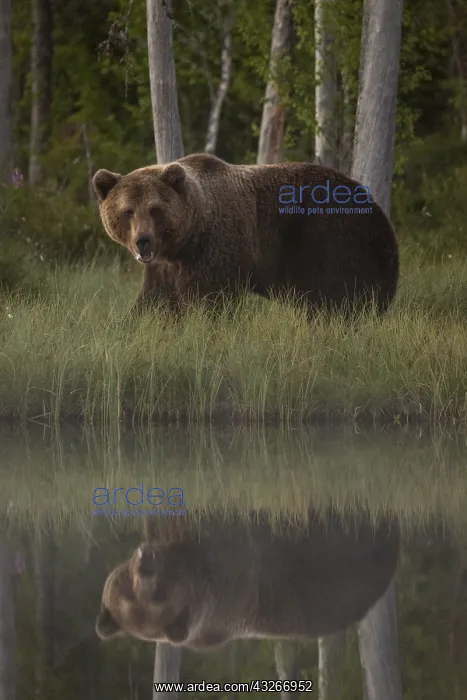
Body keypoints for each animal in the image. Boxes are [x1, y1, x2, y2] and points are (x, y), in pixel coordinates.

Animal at [92, 154, 399, 317]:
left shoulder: (216, 250)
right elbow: (154, 302)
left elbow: (210, 302)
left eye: (155, 209)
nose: (143, 241)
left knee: (335, 295)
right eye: (127, 211)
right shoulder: (164, 266)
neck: (188, 239)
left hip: (328, 236)